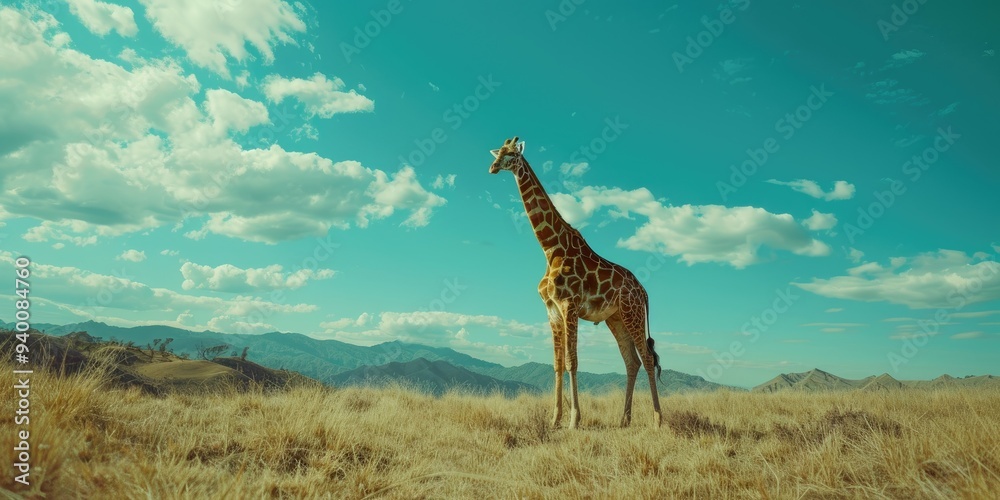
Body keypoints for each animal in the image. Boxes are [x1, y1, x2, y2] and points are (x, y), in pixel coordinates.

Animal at [489, 136, 663, 429]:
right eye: (498, 152)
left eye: (512, 155)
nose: (492, 167)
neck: (550, 248)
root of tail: (644, 291)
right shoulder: (551, 310)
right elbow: (557, 363)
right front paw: (555, 419)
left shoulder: (569, 305)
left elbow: (572, 361)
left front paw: (574, 420)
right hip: (616, 318)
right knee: (632, 362)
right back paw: (623, 420)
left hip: (633, 313)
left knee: (647, 358)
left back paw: (658, 419)